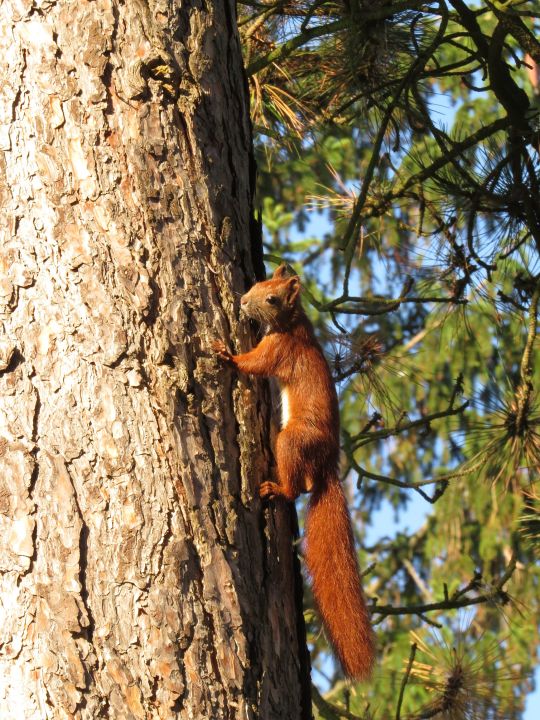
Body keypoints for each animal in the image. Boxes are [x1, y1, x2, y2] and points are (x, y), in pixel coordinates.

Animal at [212, 264, 376, 680]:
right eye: (258, 283)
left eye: (272, 298)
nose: (242, 301)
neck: (294, 323)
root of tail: (328, 466)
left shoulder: (279, 351)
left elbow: (253, 364)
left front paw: (225, 355)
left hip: (292, 441)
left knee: (297, 489)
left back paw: (276, 489)